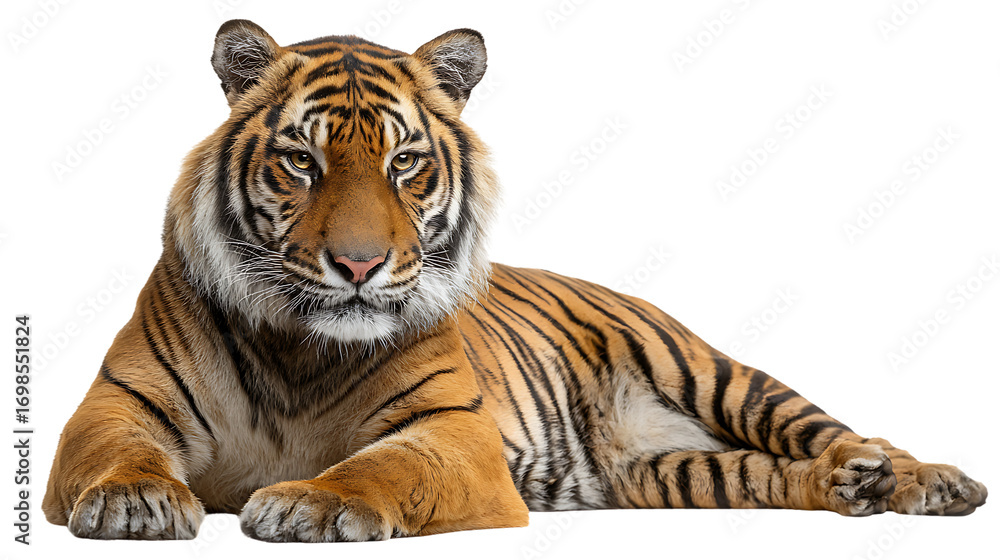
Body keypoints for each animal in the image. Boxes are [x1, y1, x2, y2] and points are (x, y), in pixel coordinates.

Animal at [43, 20, 987, 541]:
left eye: (404, 162)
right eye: (302, 161)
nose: (359, 264)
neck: (302, 351)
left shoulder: (453, 431)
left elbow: (382, 469)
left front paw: (311, 505)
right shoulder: (113, 405)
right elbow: (114, 452)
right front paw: (134, 500)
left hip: (719, 376)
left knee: (839, 431)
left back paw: (925, 480)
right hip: (665, 474)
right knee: (766, 474)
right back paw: (850, 488)